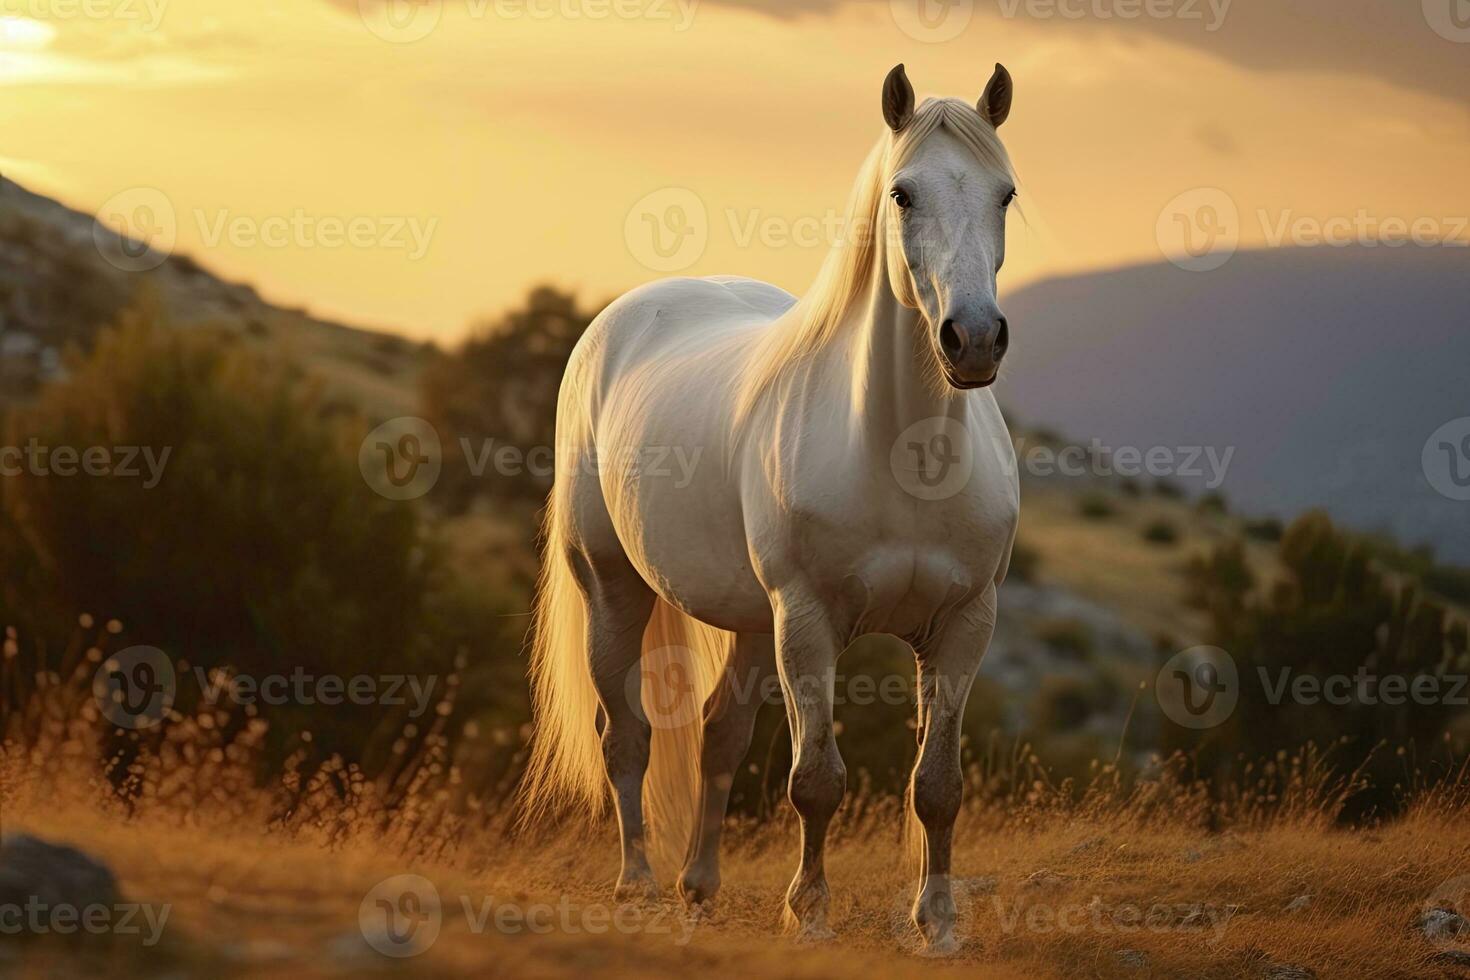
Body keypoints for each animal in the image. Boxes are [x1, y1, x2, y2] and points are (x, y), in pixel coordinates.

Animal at [529, 63, 1023, 952]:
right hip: (616, 590)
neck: (900, 456)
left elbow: (937, 784)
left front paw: (936, 924)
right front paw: (811, 913)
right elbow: (816, 779)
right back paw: (637, 885)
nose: (972, 340)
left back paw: (698, 886)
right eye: (903, 194)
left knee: (719, 732)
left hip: (756, 623)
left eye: (1005, 193)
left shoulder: (965, 622)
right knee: (627, 738)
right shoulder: (810, 620)